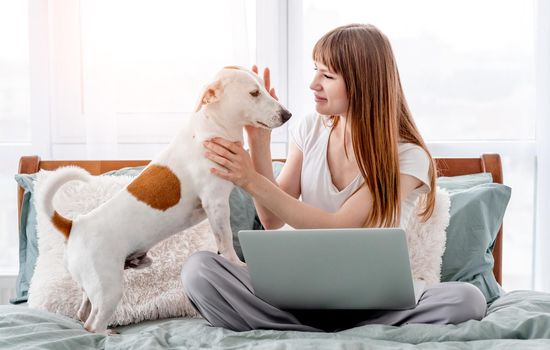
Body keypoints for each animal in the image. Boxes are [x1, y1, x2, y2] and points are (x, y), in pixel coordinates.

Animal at [38, 66, 294, 334]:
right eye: (254, 93)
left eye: (265, 88)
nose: (287, 115)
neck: (212, 127)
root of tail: (75, 225)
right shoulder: (216, 204)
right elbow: (224, 242)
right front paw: (236, 264)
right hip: (109, 287)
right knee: (92, 325)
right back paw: (106, 334)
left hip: (93, 287)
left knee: (83, 313)